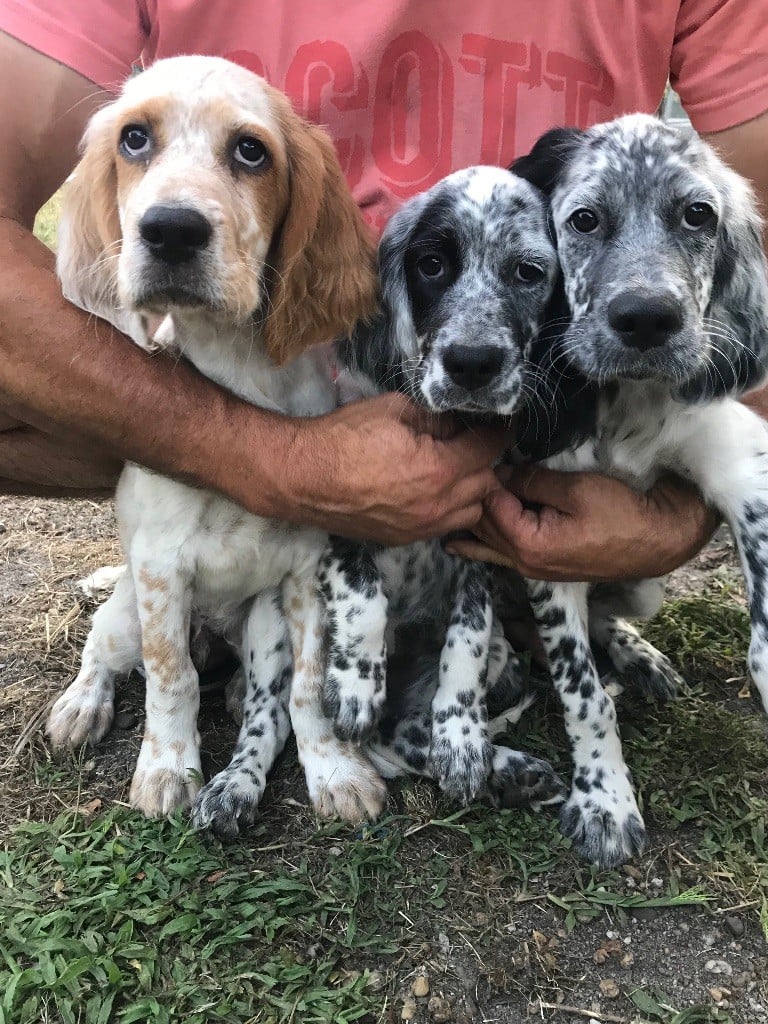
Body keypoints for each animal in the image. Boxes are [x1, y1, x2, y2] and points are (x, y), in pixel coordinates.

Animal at [45, 56, 385, 819]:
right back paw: (82, 705)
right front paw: (168, 767)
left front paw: (335, 772)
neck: (241, 370)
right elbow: (171, 679)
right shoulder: (160, 571)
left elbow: (308, 688)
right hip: (126, 614)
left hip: (257, 621)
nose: (170, 230)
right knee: (103, 652)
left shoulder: (305, 572)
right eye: (134, 139)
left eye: (251, 151)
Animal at [512, 112, 768, 868]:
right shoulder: (548, 543)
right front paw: (605, 801)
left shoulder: (738, 459)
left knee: (612, 617)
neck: (626, 403)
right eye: (585, 219)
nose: (647, 319)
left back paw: (643, 656)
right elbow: (584, 692)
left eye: (697, 215)